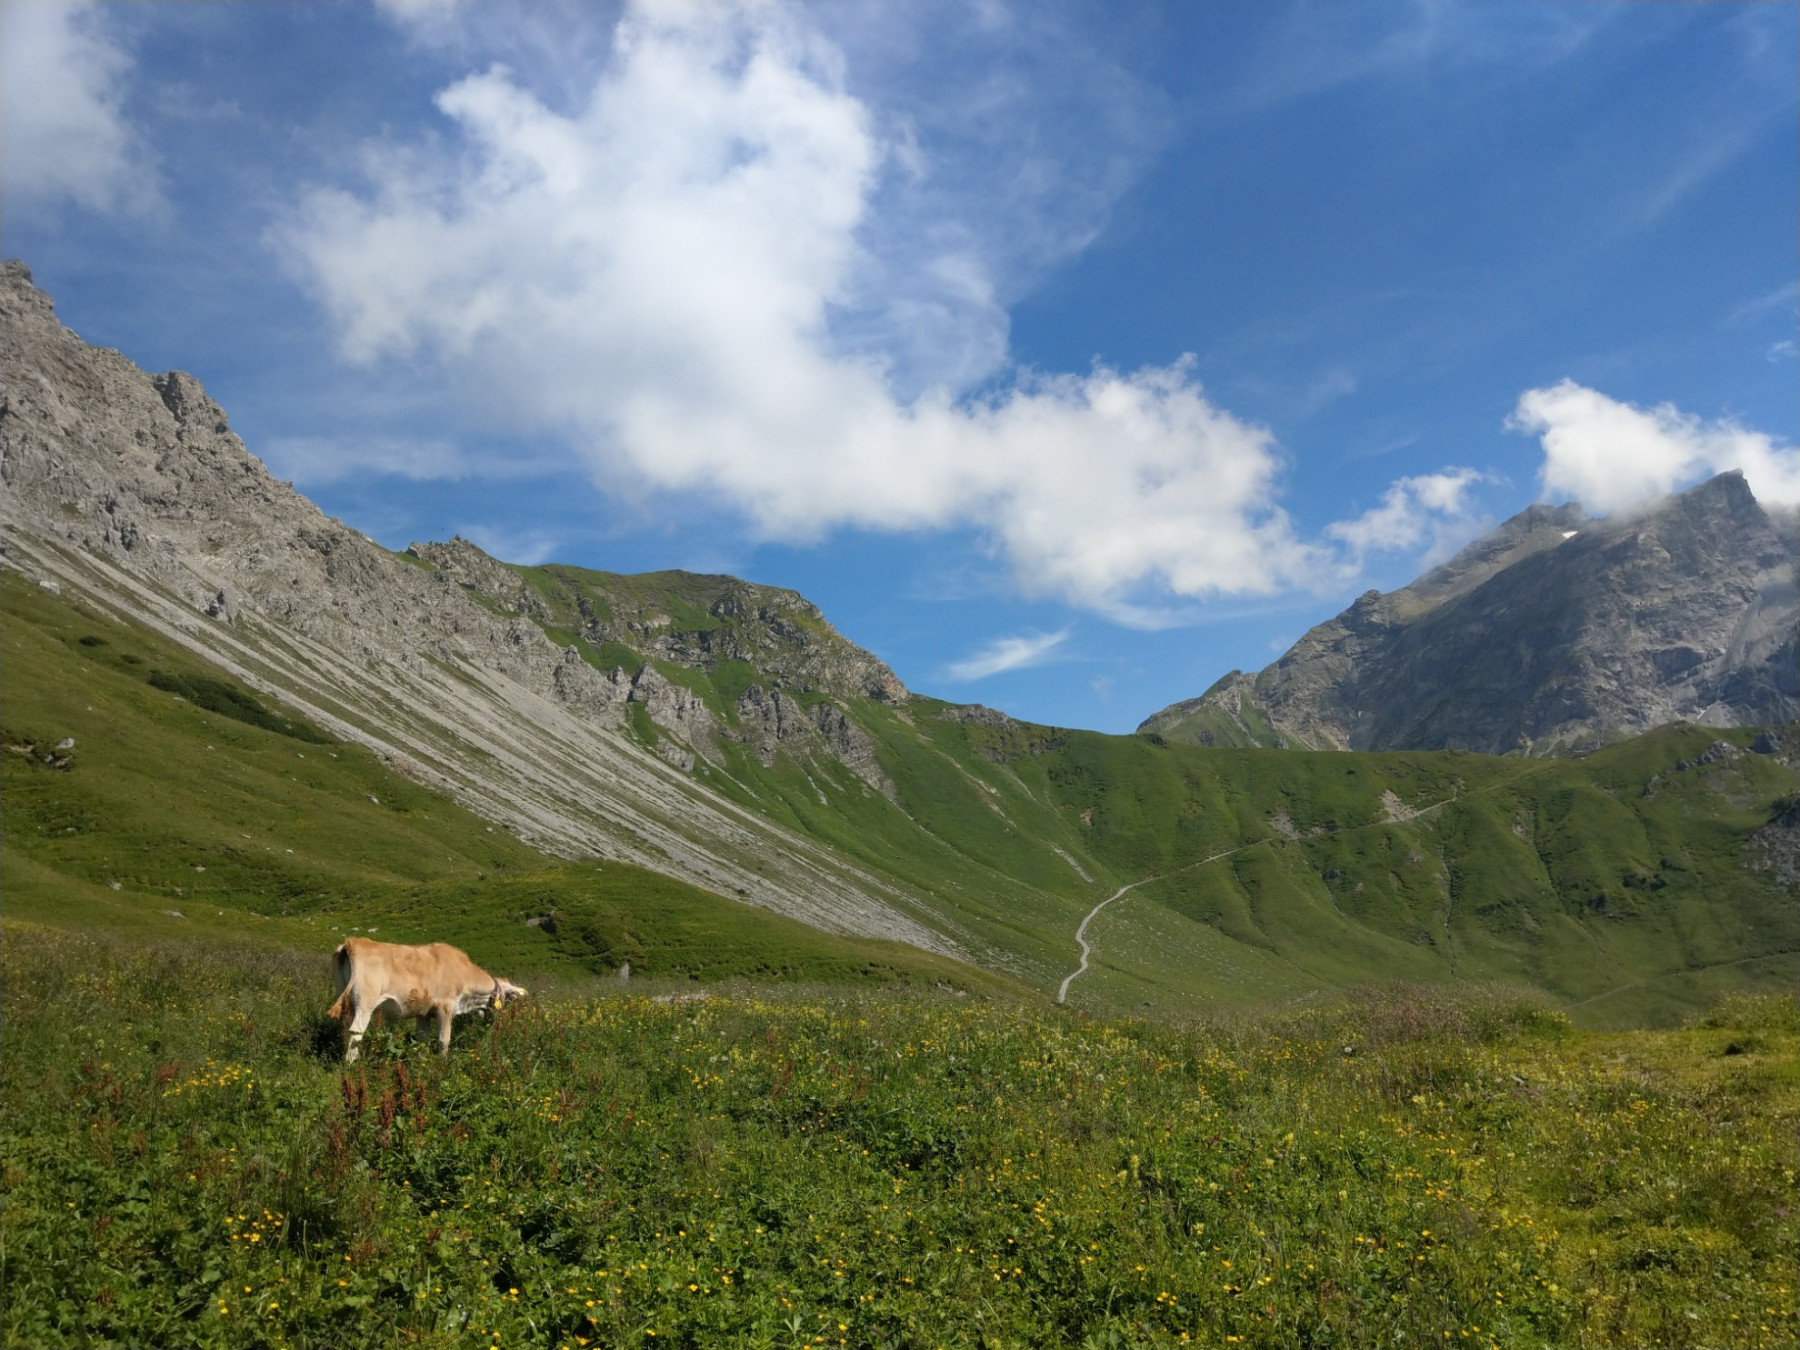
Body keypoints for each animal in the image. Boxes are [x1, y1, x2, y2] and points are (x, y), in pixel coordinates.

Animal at [327, 936, 525, 1065]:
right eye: (507, 1000)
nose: (496, 1022)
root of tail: (353, 941)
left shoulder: (423, 1012)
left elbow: (423, 1039)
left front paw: (421, 1063)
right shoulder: (445, 1007)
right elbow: (444, 1039)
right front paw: (442, 1064)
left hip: (345, 999)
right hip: (365, 1002)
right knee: (356, 1032)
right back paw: (352, 1066)